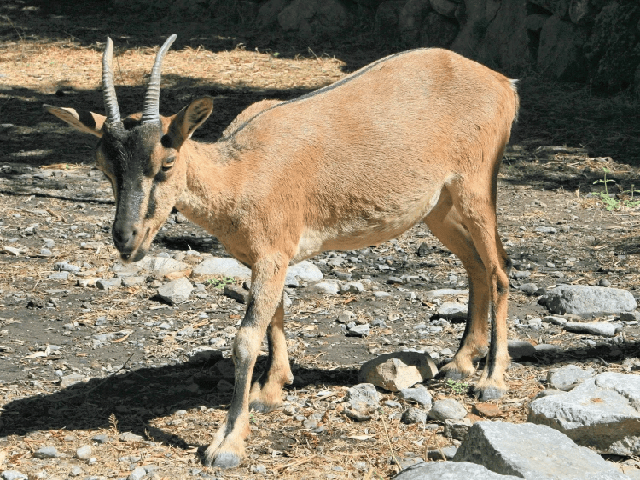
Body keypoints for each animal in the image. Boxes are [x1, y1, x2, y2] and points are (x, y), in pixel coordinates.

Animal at [45, 35, 519, 468]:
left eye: (166, 162)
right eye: (105, 167)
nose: (127, 239)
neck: (242, 173)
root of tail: (503, 84)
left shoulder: (273, 255)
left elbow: (245, 340)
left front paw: (226, 446)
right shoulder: (264, 258)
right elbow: (275, 318)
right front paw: (271, 391)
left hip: (476, 187)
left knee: (499, 269)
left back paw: (492, 381)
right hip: (437, 208)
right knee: (476, 266)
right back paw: (460, 363)